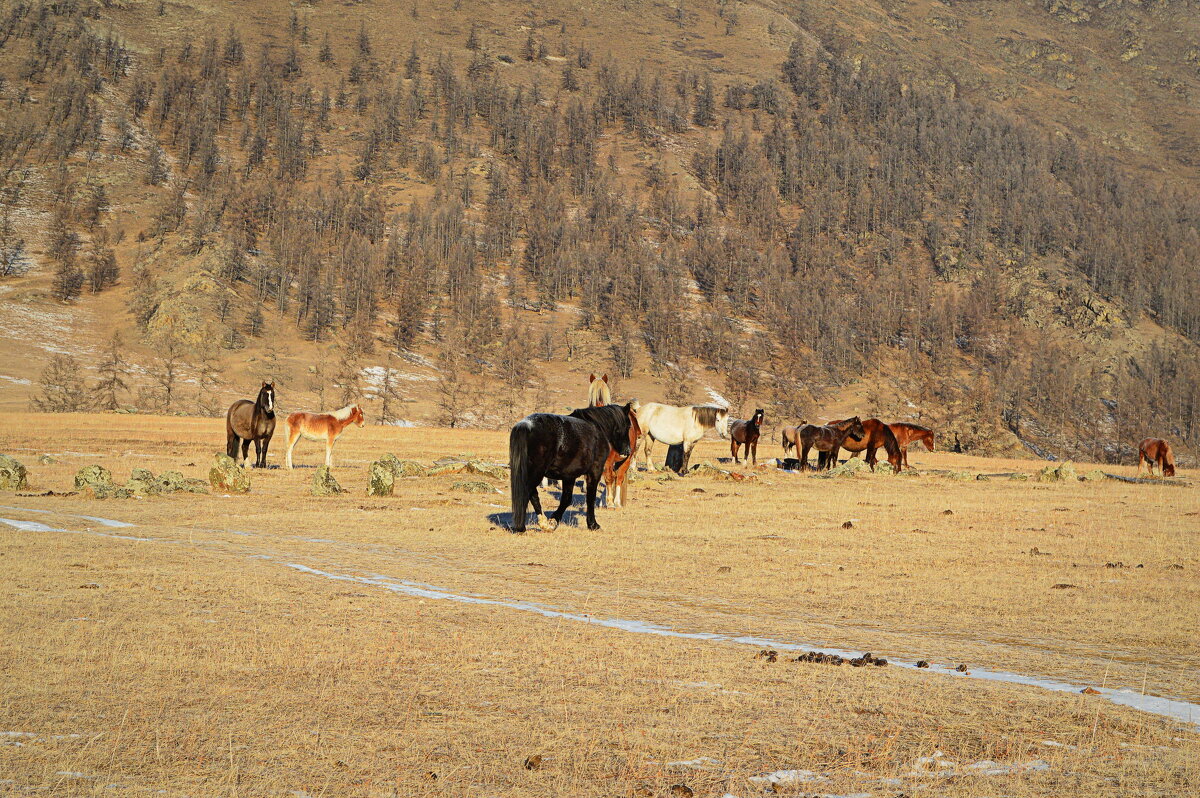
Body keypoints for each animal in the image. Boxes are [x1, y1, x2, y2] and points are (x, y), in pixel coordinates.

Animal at [506, 400, 638, 532]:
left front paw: (553, 520)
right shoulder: (594, 472)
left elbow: (566, 499)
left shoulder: (569, 476)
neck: (597, 427)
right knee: (528, 492)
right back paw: (525, 527)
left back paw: (542, 523)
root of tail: (525, 425)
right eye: (628, 425)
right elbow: (590, 498)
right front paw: (593, 524)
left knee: (532, 494)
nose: (627, 451)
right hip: (536, 473)